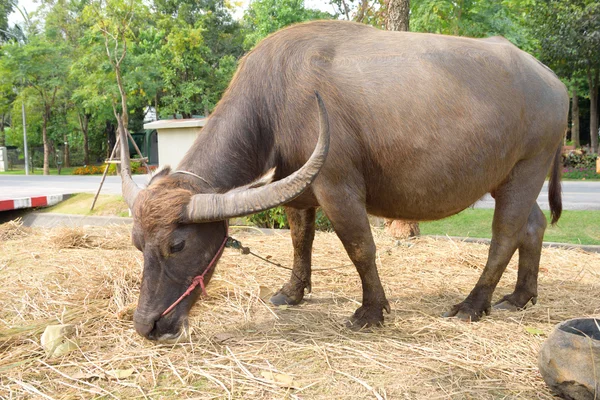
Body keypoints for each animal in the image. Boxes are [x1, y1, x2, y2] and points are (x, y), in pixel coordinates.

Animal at [119, 20, 568, 342]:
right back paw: (521, 297)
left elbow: (359, 247)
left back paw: (473, 305)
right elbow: (300, 238)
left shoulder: (338, 186)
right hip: (508, 176)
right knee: (534, 225)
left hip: (527, 167)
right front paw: (292, 292)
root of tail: (553, 81)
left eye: (177, 245)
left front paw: (370, 312)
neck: (277, 98)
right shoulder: (296, 186)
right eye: (137, 244)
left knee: (505, 234)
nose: (148, 326)